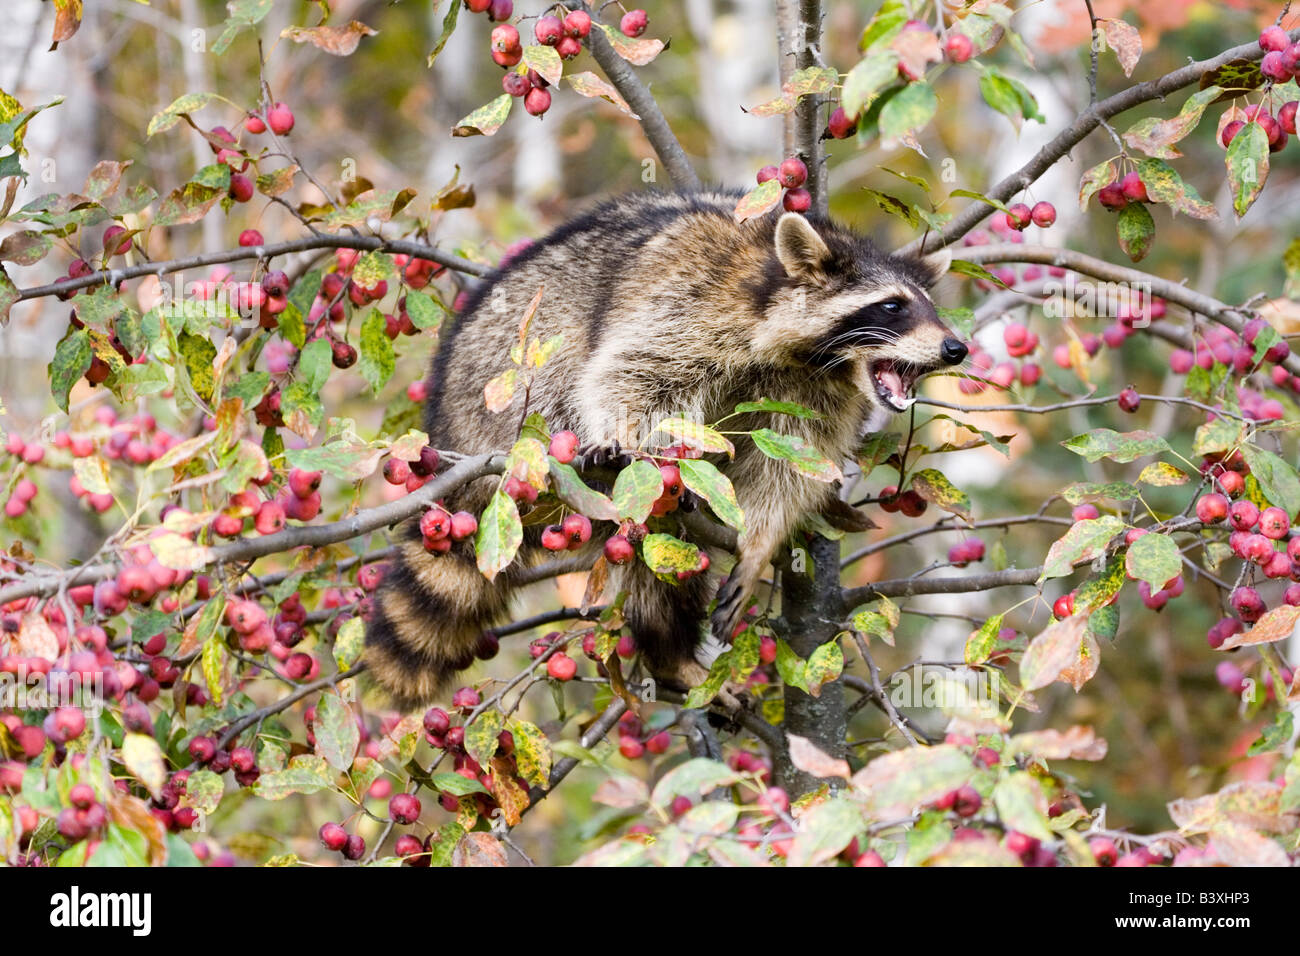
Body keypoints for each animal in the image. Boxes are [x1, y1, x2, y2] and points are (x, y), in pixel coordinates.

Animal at [364, 189, 966, 711]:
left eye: (931, 308)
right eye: (891, 306)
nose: (956, 348)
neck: (814, 357)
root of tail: (449, 426)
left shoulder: (815, 396)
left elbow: (791, 464)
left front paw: (762, 540)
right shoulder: (692, 303)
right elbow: (628, 374)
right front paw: (630, 438)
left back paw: (669, 649)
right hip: (505, 392)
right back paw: (669, 646)